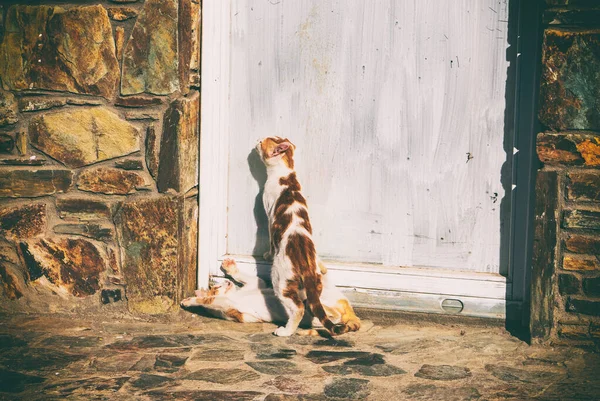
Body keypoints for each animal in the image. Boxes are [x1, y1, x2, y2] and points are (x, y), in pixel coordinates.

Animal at [177, 256, 356, 334]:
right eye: (216, 286)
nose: (227, 282)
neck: (237, 294)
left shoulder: (256, 285)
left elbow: (254, 278)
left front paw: (230, 268)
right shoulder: (225, 304)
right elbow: (206, 299)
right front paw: (189, 300)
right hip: (320, 315)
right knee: (331, 314)